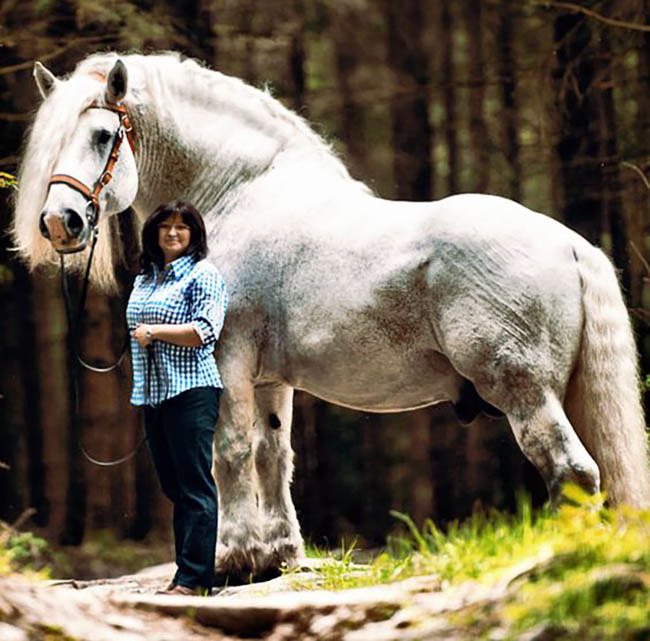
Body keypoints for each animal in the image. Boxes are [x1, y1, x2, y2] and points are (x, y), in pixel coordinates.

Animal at [11, 51, 650, 580]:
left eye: (101, 135)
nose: (60, 222)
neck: (239, 194)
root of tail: (571, 243)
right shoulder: (270, 380)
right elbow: (273, 455)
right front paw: (279, 555)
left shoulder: (227, 359)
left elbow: (229, 453)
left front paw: (231, 558)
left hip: (524, 392)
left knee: (572, 472)